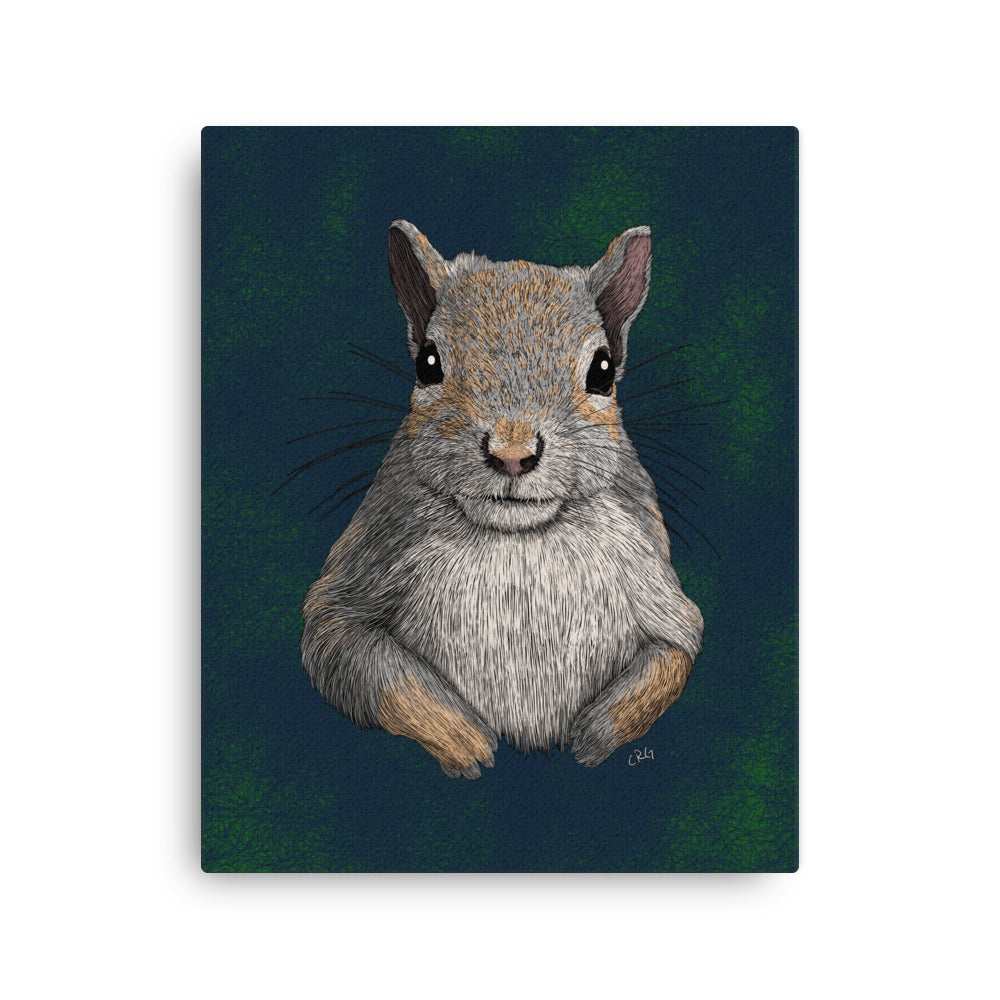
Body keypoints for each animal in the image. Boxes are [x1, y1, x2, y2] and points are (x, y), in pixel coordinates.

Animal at [301, 220, 704, 778]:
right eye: (428, 363)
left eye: (603, 371)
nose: (512, 454)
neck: (517, 537)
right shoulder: (364, 567)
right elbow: (361, 661)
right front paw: (465, 741)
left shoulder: (653, 577)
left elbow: (672, 655)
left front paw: (590, 738)